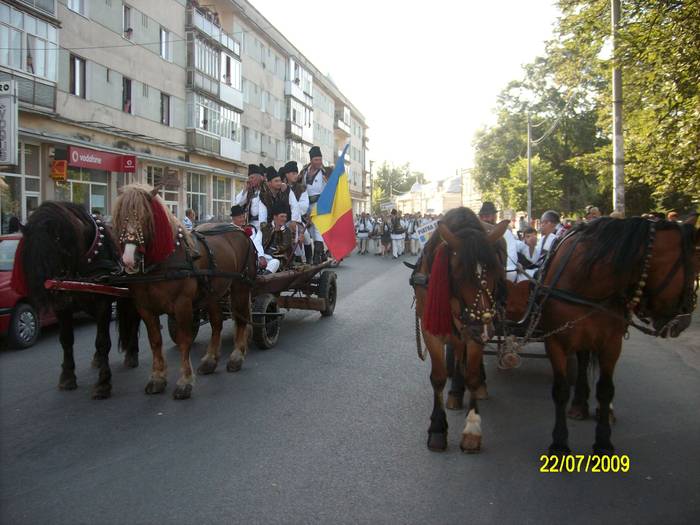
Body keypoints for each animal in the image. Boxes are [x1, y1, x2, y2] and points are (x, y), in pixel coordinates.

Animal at [12, 201, 142, 398]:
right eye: (28, 254)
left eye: (52, 253)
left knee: (134, 320)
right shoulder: (62, 305)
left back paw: (132, 354)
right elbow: (66, 340)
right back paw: (98, 359)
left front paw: (103, 383)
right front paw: (67, 377)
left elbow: (103, 341)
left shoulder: (103, 303)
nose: (45, 290)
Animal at [112, 183, 258, 398]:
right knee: (216, 323)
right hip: (213, 292)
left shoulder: (182, 305)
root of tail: (241, 230)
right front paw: (157, 378)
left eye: (146, 217)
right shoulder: (145, 308)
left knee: (241, 320)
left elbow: (184, 341)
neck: (163, 262)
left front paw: (185, 382)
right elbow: (155, 341)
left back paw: (236, 357)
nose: (129, 259)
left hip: (240, 285)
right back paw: (210, 360)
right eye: (120, 217)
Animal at [408, 207, 506, 452]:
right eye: (459, 274)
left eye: (496, 273)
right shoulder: (432, 330)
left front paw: (472, 428)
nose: (484, 327)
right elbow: (438, 377)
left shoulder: (473, 333)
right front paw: (437, 428)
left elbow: (471, 374)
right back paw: (454, 392)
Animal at [540, 215, 696, 452]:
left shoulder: (611, 344)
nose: (684, 322)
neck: (588, 284)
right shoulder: (555, 341)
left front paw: (603, 442)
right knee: (583, 361)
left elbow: (605, 389)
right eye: (696, 265)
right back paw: (578, 405)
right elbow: (560, 390)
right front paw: (559, 444)